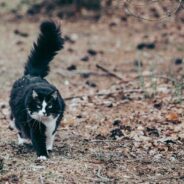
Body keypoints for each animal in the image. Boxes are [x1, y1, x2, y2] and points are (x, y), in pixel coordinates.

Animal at [9, 20, 65, 160]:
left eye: (49, 106)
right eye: (39, 105)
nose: (44, 112)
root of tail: (33, 74)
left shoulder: (54, 123)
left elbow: (50, 136)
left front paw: (48, 148)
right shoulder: (34, 124)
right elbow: (38, 140)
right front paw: (42, 155)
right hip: (18, 116)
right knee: (19, 128)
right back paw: (22, 141)